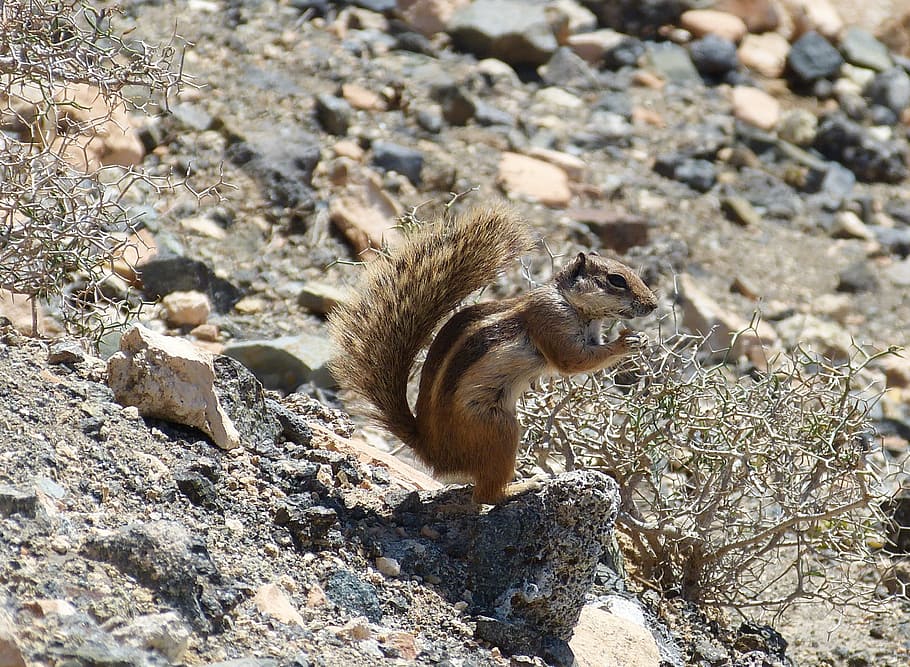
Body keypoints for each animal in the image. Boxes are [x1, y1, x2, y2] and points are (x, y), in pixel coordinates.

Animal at [328, 205, 657, 504]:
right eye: (616, 279)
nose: (653, 304)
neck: (574, 306)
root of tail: (431, 450)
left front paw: (639, 339)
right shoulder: (550, 320)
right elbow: (571, 361)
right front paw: (627, 342)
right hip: (499, 428)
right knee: (486, 495)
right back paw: (523, 486)